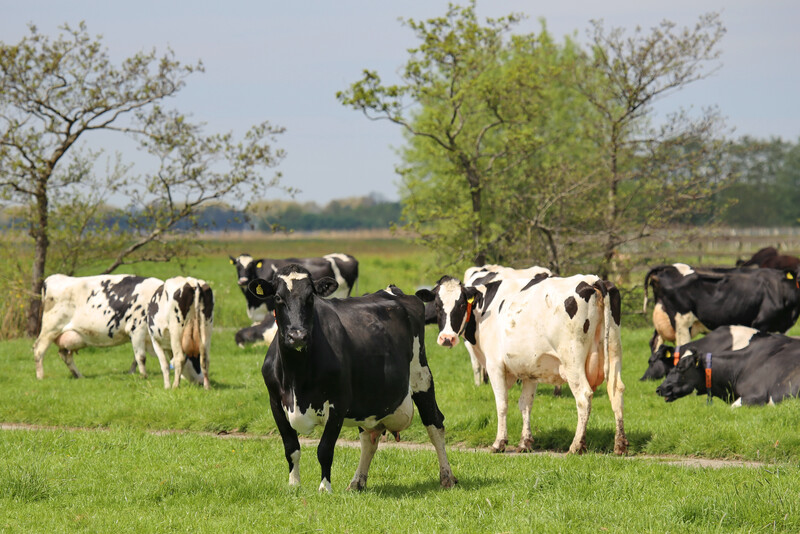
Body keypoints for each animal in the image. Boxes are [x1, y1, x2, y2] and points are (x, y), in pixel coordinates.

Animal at [33, 274, 164, 380]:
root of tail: (53, 278)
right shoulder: (136, 328)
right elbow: (141, 357)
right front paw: (144, 376)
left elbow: (136, 357)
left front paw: (132, 372)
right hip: (50, 329)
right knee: (39, 350)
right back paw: (40, 377)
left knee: (64, 355)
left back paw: (79, 376)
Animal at [247, 264, 456, 492]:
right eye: (277, 297)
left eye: (310, 297)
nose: (297, 336)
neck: (296, 378)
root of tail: (392, 290)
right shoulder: (275, 402)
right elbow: (291, 447)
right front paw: (294, 486)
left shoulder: (339, 402)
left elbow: (325, 449)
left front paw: (324, 489)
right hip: (367, 400)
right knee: (368, 439)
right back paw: (357, 482)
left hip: (421, 376)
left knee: (435, 424)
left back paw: (447, 477)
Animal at [417, 273, 627, 455]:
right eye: (437, 305)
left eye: (461, 305)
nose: (447, 338)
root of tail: (593, 280)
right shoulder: (530, 369)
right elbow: (525, 404)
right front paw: (524, 443)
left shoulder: (495, 366)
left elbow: (502, 403)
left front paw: (499, 443)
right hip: (614, 350)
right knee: (616, 390)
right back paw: (620, 445)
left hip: (572, 359)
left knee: (583, 396)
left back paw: (576, 446)